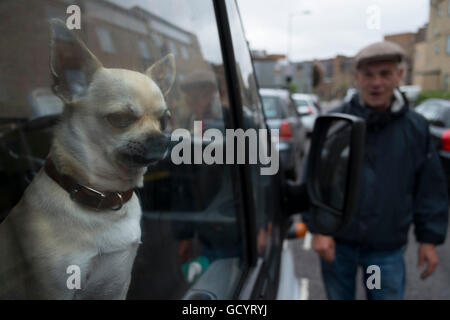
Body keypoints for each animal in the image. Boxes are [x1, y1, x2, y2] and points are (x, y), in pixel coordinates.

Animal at [0, 19, 176, 300]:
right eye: (120, 118)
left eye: (164, 121)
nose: (164, 139)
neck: (104, 196)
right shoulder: (53, 290)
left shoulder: (117, 286)